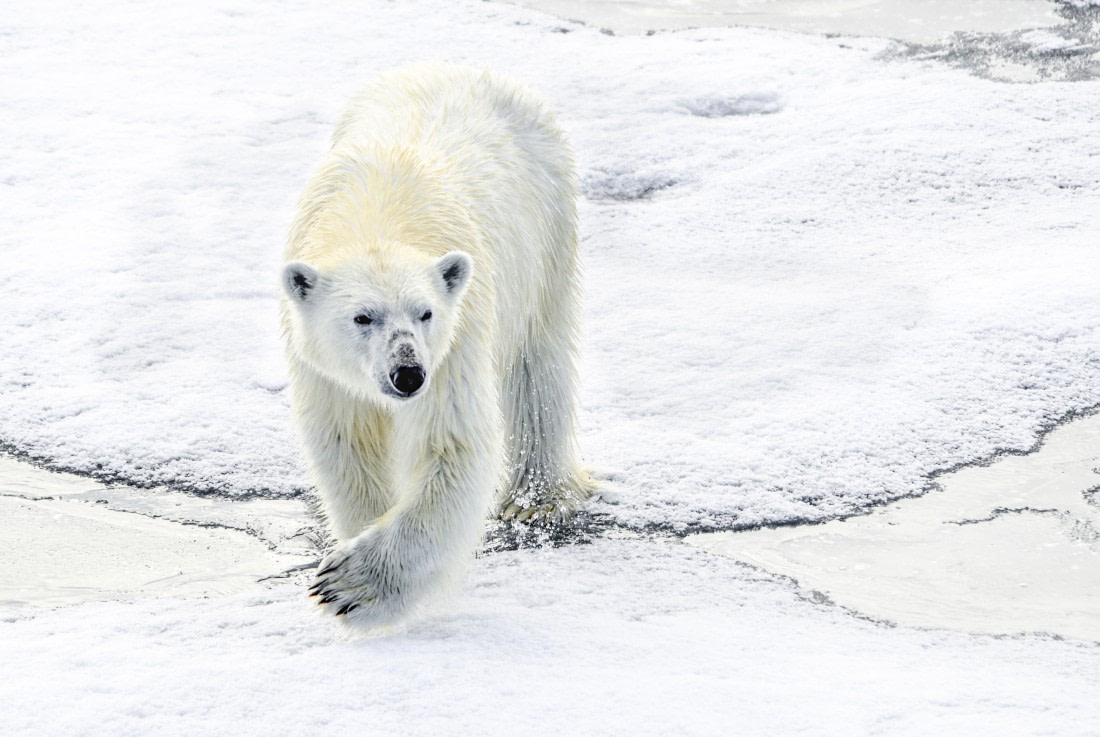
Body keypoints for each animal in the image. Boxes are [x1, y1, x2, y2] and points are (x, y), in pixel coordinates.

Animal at [280, 63, 594, 625]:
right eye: (362, 317)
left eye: (424, 313)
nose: (407, 375)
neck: (377, 213)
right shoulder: (321, 367)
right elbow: (348, 443)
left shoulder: (455, 338)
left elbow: (452, 445)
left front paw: (350, 586)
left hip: (547, 230)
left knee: (537, 367)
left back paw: (534, 496)